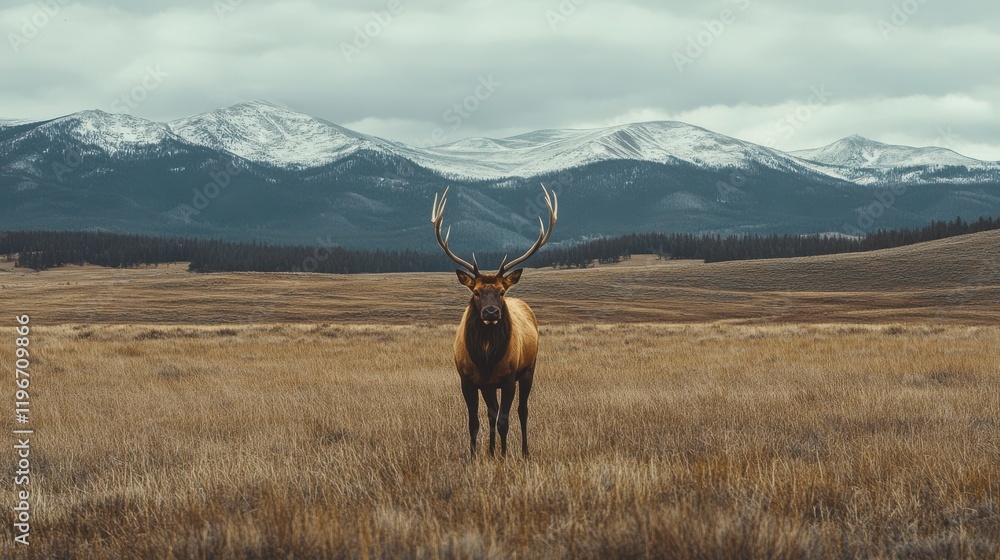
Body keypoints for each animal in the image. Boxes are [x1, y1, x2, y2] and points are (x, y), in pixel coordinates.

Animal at [431, 184, 557, 458]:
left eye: (501, 291)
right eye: (476, 292)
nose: (491, 313)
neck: (486, 357)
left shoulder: (508, 377)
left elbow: (504, 420)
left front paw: (503, 455)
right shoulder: (468, 379)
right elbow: (475, 421)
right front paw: (475, 455)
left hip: (529, 369)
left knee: (522, 411)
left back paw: (523, 452)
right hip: (489, 385)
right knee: (491, 412)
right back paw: (490, 450)